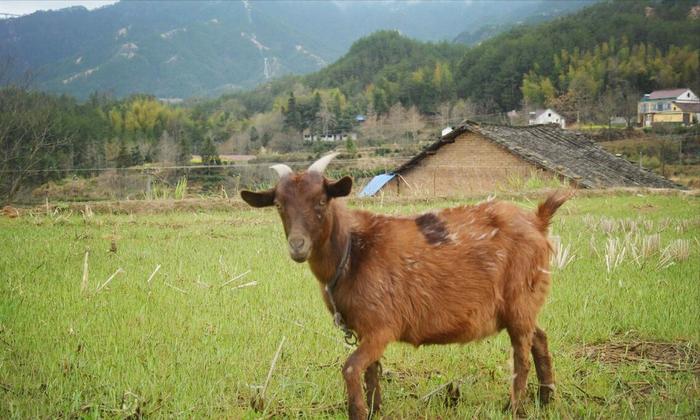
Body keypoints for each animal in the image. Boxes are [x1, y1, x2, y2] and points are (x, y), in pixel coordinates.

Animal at [243, 155, 572, 420]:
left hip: (520, 297)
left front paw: (358, 412)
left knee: (521, 354)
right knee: (539, 338)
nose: (297, 246)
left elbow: (351, 368)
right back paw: (546, 398)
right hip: (524, 303)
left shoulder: (381, 326)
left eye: (321, 201)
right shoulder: (365, 330)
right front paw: (375, 410)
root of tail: (538, 220)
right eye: (279, 205)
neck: (353, 251)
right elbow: (371, 371)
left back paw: (515, 407)